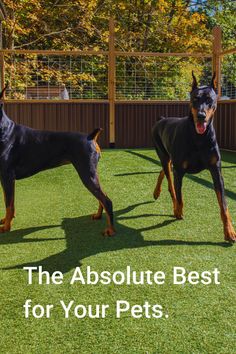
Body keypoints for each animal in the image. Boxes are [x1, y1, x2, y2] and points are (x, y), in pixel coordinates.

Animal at [0, 85, 115, 235]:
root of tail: (91, 136)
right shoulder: (5, 178)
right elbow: (9, 201)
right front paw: (6, 220)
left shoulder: (7, 176)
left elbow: (8, 204)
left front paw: (6, 227)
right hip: (92, 173)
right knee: (102, 196)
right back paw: (98, 215)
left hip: (87, 174)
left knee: (106, 200)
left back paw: (111, 230)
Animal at [152, 72, 235, 243]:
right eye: (195, 99)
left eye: (209, 99)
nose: (201, 116)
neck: (199, 138)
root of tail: (161, 119)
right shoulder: (180, 170)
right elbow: (180, 196)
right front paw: (178, 211)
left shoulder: (216, 170)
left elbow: (223, 204)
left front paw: (229, 231)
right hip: (163, 153)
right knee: (170, 181)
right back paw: (168, 200)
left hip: (169, 158)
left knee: (164, 170)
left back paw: (157, 192)